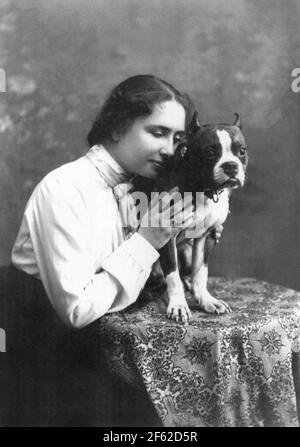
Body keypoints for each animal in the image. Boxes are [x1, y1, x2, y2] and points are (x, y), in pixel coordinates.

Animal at [134, 112, 248, 322]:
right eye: (210, 152)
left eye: (241, 151)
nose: (231, 166)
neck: (203, 189)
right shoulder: (167, 236)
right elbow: (172, 274)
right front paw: (178, 305)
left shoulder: (206, 236)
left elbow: (201, 272)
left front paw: (206, 300)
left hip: (186, 251)